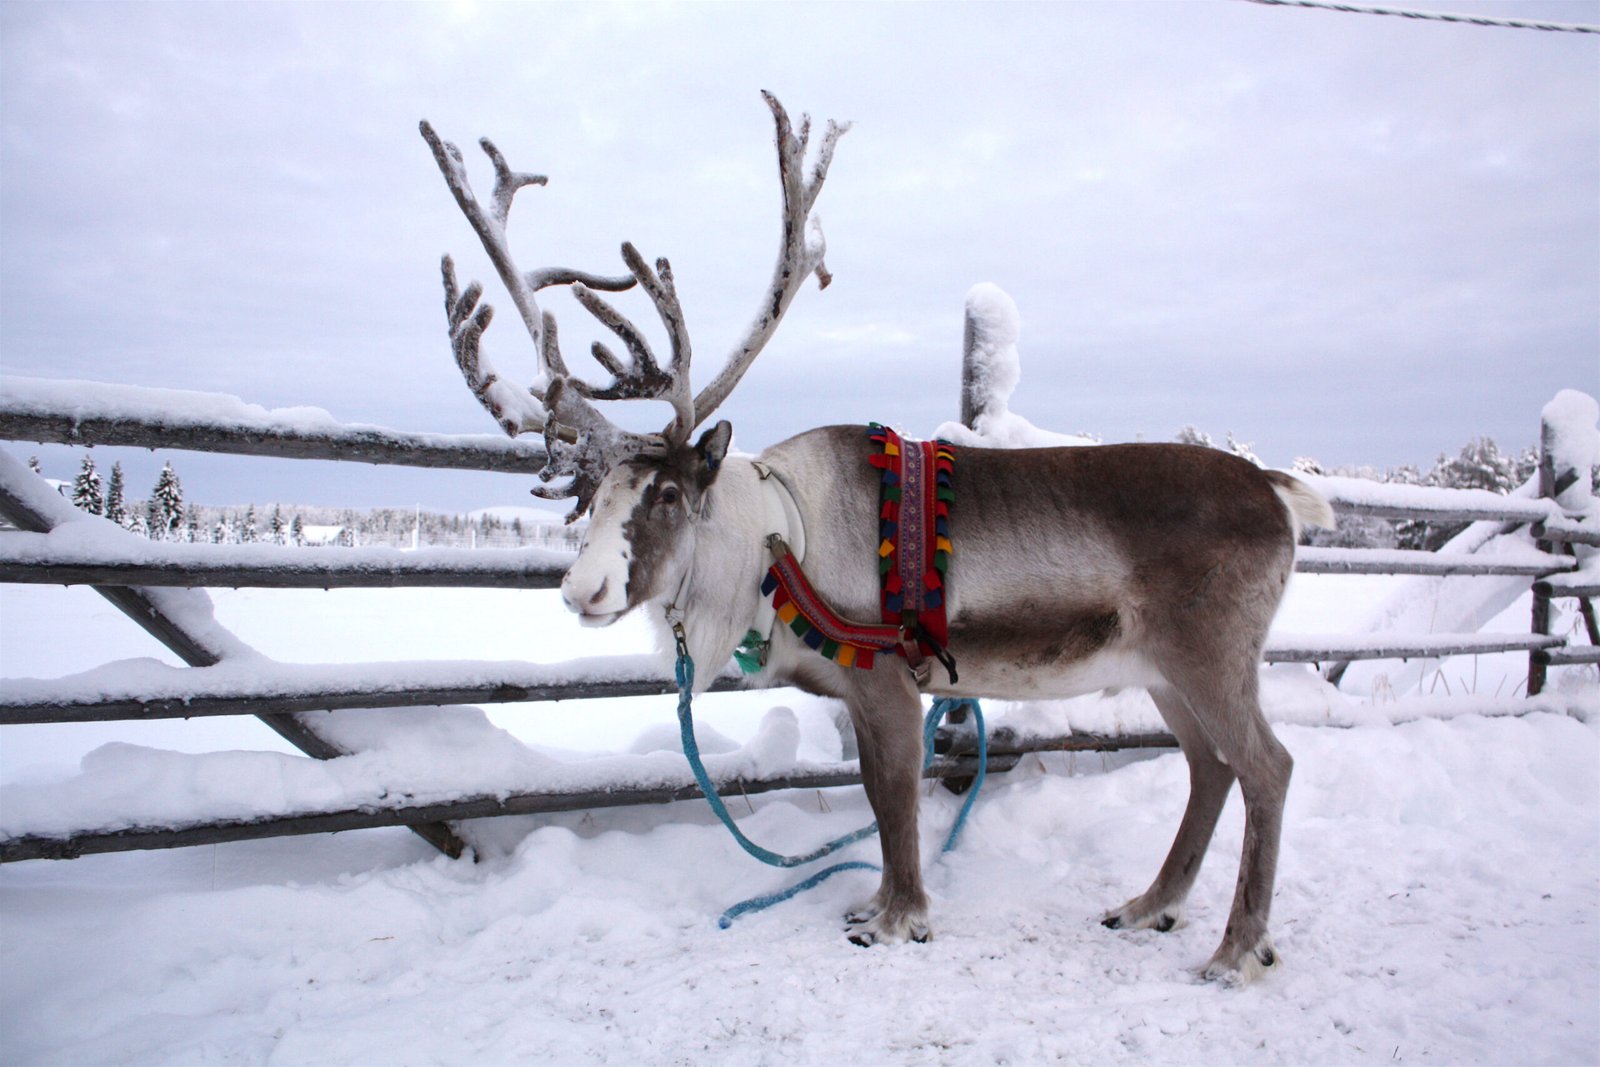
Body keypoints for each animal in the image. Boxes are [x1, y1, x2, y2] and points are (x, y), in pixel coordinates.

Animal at [421, 93, 1334, 984]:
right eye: (589, 497)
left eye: (670, 493)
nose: (584, 591)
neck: (777, 539)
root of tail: (1276, 491)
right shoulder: (854, 690)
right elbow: (871, 791)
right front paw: (879, 905)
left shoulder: (891, 679)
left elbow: (894, 799)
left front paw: (899, 920)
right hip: (1161, 668)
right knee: (1212, 766)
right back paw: (1151, 905)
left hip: (1210, 653)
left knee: (1269, 766)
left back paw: (1236, 950)